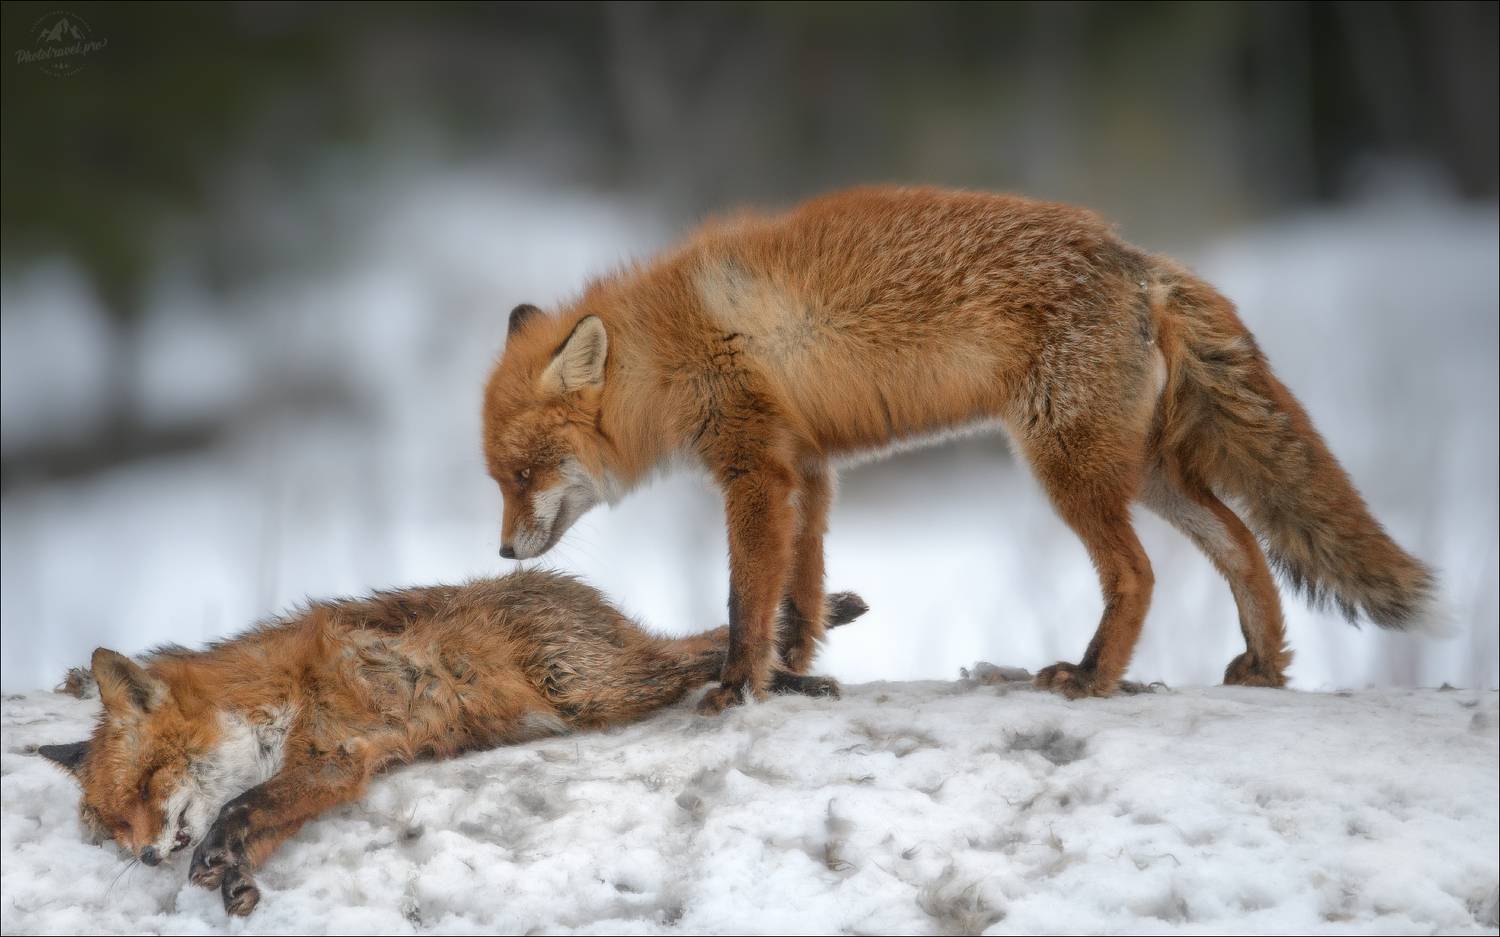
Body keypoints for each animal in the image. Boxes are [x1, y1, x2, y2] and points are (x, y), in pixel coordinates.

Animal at [38, 570, 868, 916]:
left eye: (146, 786)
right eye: (113, 828)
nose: (147, 855)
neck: (261, 705)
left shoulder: (331, 751)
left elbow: (240, 805)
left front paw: (221, 854)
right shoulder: (334, 770)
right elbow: (253, 823)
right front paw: (232, 879)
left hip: (590, 685)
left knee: (704, 648)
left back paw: (801, 650)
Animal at [482, 184, 1438, 714]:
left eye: (525, 474)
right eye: (498, 479)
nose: (501, 551)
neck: (668, 347)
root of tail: (1136, 257)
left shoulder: (755, 470)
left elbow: (747, 595)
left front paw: (736, 685)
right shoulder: (808, 470)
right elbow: (801, 594)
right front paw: (794, 679)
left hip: (1069, 467)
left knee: (1139, 574)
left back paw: (1092, 676)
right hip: (1147, 471)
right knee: (1242, 544)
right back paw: (1263, 664)